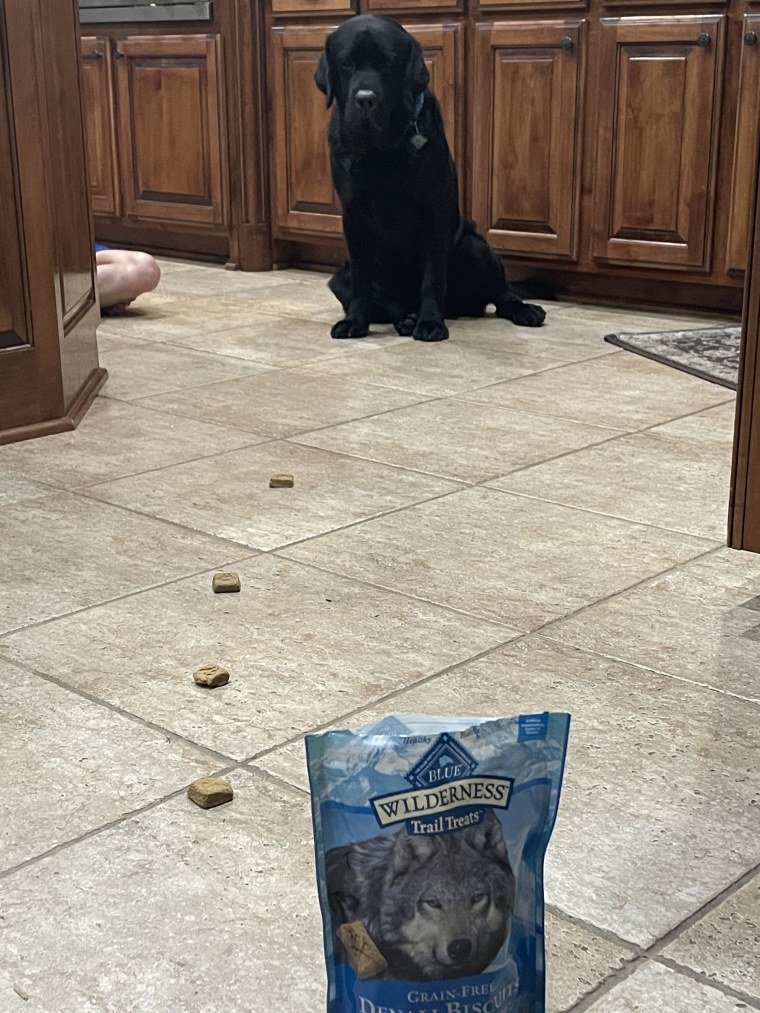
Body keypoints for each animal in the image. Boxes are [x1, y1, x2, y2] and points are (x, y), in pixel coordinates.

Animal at [316, 13, 547, 342]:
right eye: (347, 63)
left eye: (388, 63)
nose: (365, 100)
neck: (382, 151)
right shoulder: (353, 216)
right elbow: (363, 283)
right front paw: (355, 322)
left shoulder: (433, 212)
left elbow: (432, 276)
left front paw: (430, 322)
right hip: (339, 277)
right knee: (384, 300)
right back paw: (405, 319)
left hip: (475, 246)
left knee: (502, 295)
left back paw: (524, 310)